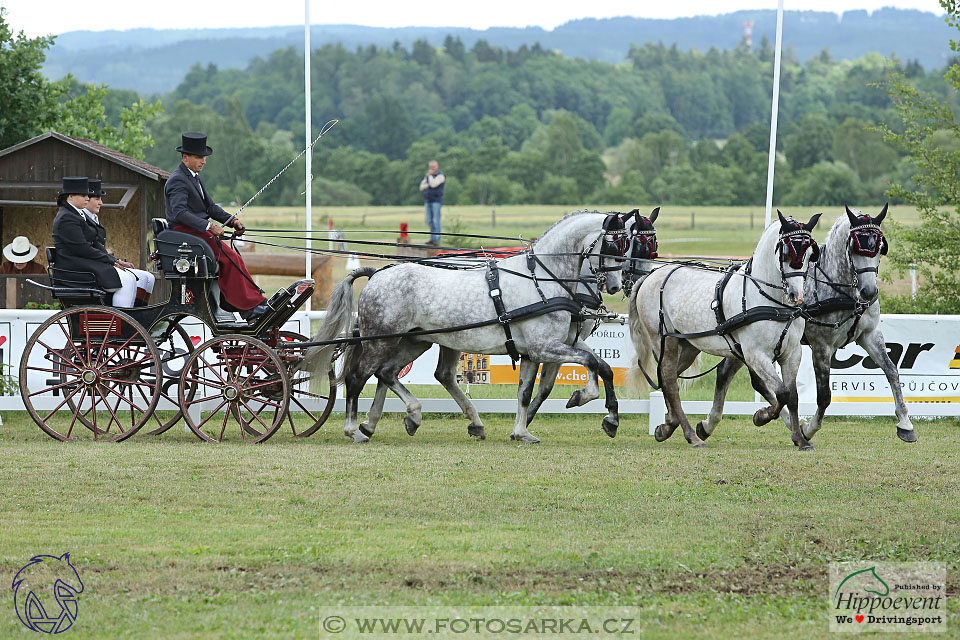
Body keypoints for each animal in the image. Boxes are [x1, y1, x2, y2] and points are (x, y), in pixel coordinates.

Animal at [300, 212, 632, 442]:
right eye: (616, 242)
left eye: (628, 244)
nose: (617, 285)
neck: (542, 278)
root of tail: (378, 274)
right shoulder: (543, 347)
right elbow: (594, 363)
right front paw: (597, 409)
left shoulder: (534, 352)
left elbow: (529, 391)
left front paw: (522, 432)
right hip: (380, 341)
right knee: (358, 378)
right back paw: (355, 430)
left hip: (414, 341)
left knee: (389, 373)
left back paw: (414, 417)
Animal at [628, 211, 820, 450]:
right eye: (786, 253)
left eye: (810, 254)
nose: (797, 295)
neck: (773, 303)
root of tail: (653, 273)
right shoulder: (756, 355)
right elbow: (782, 392)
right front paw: (762, 416)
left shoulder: (792, 353)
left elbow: (792, 395)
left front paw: (800, 439)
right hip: (664, 340)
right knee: (670, 381)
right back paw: (692, 436)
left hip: (688, 344)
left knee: (665, 377)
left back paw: (668, 425)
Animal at [696, 206, 916, 444]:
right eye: (855, 247)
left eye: (879, 248)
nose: (869, 292)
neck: (840, 289)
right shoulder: (821, 345)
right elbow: (824, 395)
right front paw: (810, 428)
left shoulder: (870, 335)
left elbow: (892, 371)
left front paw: (905, 424)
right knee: (742, 378)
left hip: (743, 345)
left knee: (732, 375)